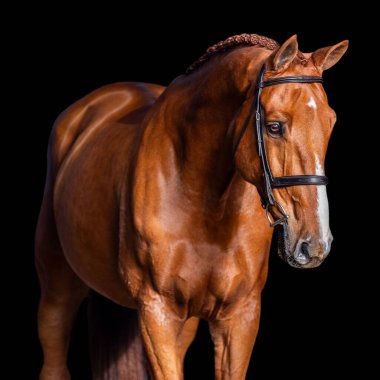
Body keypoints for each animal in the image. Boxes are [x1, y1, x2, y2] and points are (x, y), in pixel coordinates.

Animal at [35, 34, 348, 378]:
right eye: (275, 126)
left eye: (330, 122)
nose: (314, 244)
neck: (203, 202)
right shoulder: (156, 311)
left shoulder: (240, 315)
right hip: (58, 287)